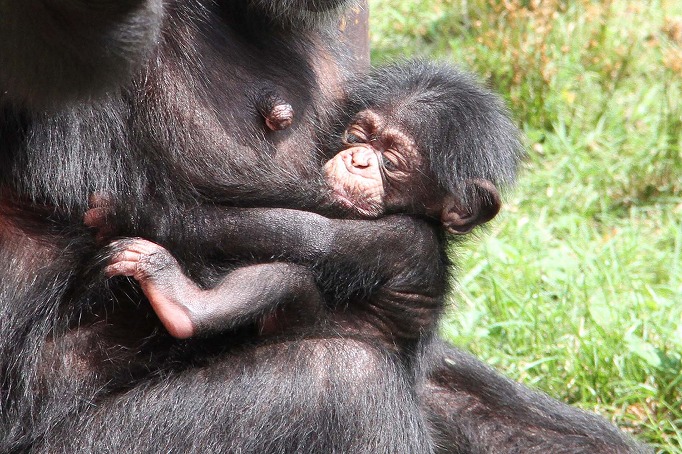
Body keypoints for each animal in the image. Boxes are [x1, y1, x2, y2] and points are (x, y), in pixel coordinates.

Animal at [97, 59, 520, 344]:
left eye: (392, 162)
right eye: (358, 137)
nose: (358, 159)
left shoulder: (402, 239)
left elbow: (312, 237)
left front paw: (138, 208)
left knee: (287, 277)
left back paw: (179, 302)